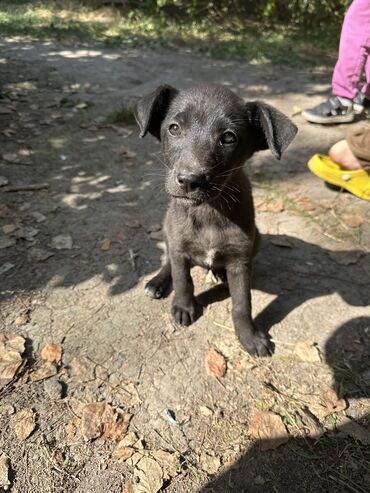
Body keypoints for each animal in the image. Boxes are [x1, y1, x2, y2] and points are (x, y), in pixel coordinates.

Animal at [134, 83, 296, 354]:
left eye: (229, 137)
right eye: (174, 128)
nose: (189, 180)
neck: (208, 211)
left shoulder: (240, 260)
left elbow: (242, 302)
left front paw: (249, 336)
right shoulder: (179, 246)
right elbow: (183, 279)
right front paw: (183, 306)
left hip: (257, 239)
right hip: (169, 233)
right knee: (169, 261)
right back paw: (157, 282)